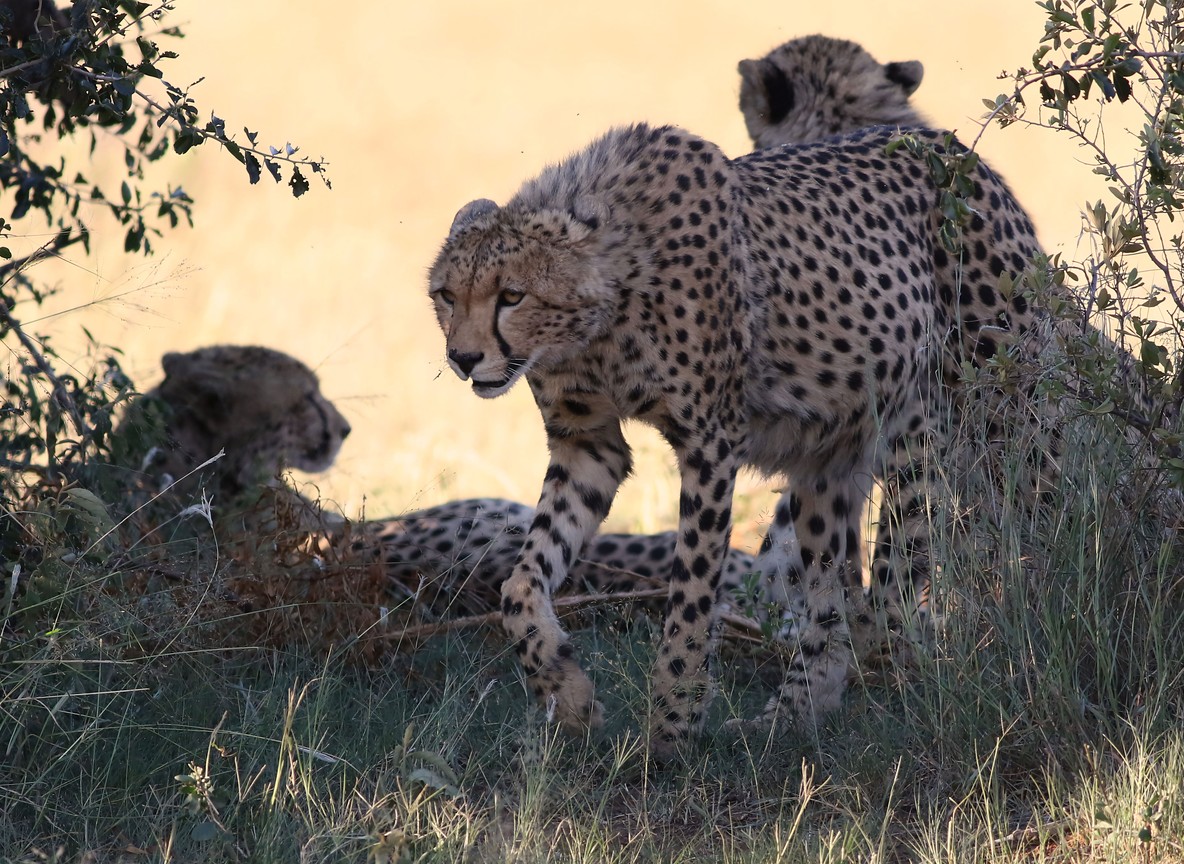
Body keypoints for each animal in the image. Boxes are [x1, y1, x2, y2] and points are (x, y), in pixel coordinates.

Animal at [428, 120, 1044, 755]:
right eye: (446, 295)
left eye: (512, 295)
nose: (463, 358)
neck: (602, 317)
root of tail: (949, 145)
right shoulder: (587, 445)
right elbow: (520, 584)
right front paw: (567, 695)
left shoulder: (710, 445)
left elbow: (691, 597)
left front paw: (672, 724)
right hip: (827, 460)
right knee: (831, 607)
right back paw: (789, 717)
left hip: (962, 417)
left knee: (946, 558)